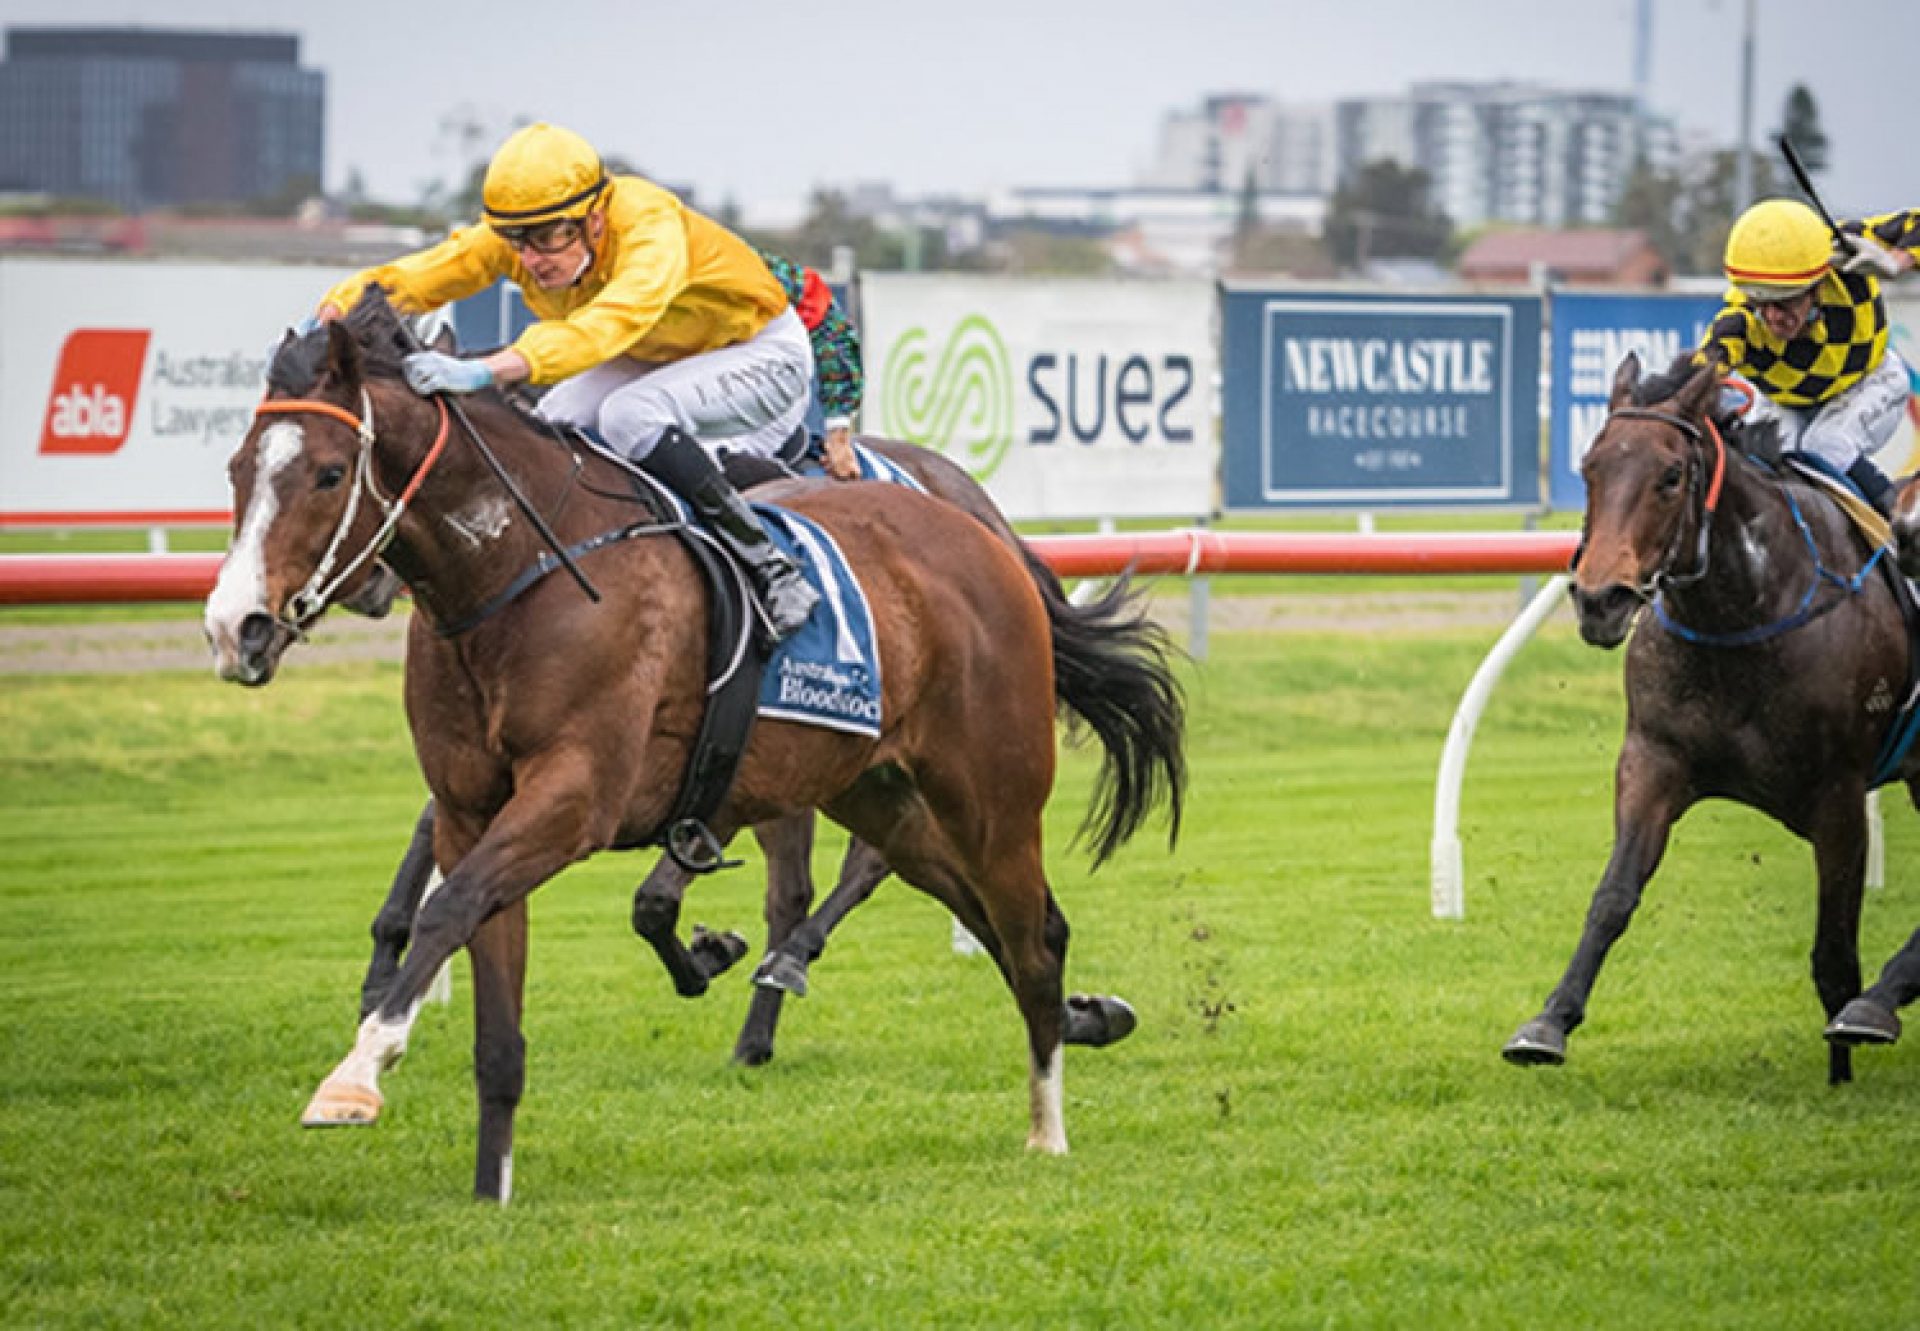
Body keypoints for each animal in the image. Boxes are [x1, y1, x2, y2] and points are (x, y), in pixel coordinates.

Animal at [198, 293, 1182, 1206]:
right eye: (239, 469)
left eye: (329, 473)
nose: (234, 627)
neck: (520, 574)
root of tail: (987, 535)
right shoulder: (476, 805)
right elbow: (486, 991)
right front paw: (490, 1184)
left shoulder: (578, 797)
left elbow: (457, 908)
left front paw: (355, 1074)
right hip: (879, 790)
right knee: (972, 909)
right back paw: (1085, 1015)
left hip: (991, 790)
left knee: (1025, 932)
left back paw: (1043, 1126)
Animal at [1505, 355, 1912, 1090]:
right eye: (1588, 466)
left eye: (1671, 475)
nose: (1600, 600)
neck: (1744, 612)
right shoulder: (1654, 759)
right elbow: (1613, 895)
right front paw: (1548, 1022)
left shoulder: (1839, 794)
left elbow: (1834, 953)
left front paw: (1847, 1053)